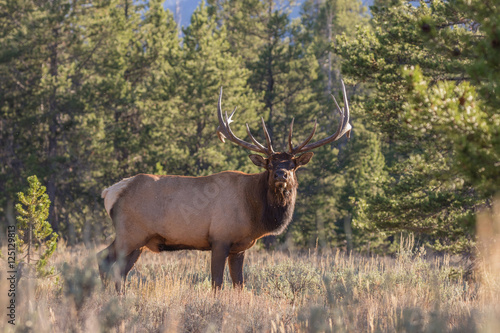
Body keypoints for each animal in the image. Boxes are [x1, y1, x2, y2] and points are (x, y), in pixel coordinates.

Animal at [97, 80, 352, 290]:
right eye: (269, 164)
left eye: (293, 165)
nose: (281, 175)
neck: (256, 213)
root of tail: (110, 192)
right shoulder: (220, 239)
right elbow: (217, 283)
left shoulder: (240, 247)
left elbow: (239, 284)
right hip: (130, 233)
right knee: (105, 260)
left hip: (139, 240)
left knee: (117, 268)